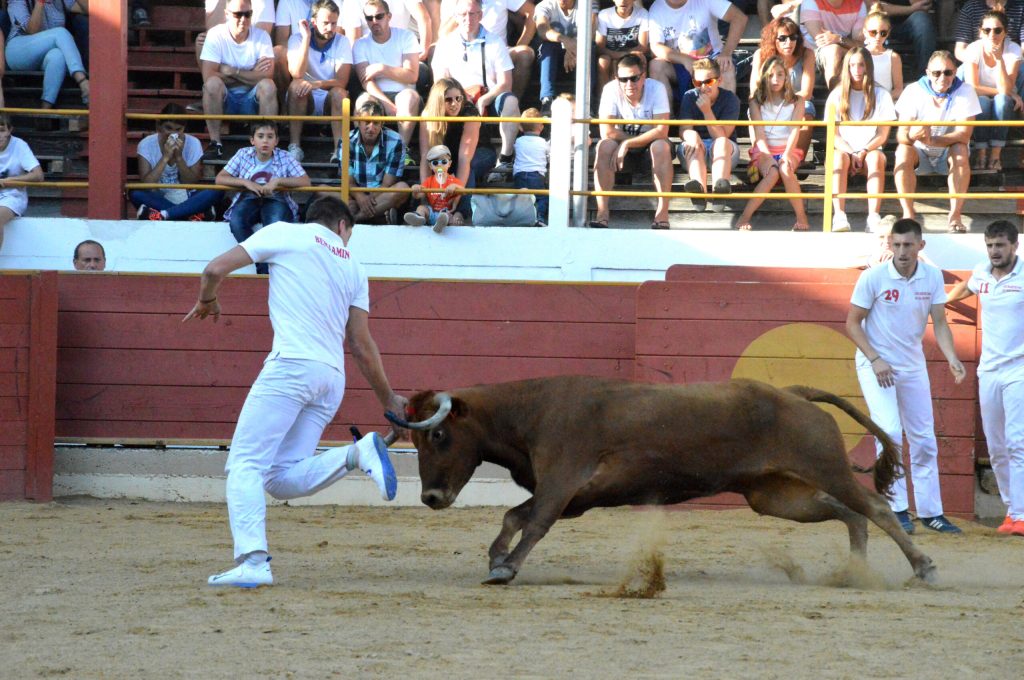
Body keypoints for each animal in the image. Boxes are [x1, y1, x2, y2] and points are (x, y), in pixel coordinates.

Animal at [389, 376, 937, 585]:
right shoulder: (574, 497)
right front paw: (496, 557)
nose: (431, 496)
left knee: (875, 507)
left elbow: (535, 522)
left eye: (438, 434)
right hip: (776, 494)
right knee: (849, 512)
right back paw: (854, 571)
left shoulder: (561, 483)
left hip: (823, 468)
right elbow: (513, 515)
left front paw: (506, 568)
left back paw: (924, 567)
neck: (529, 413)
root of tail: (794, 393)